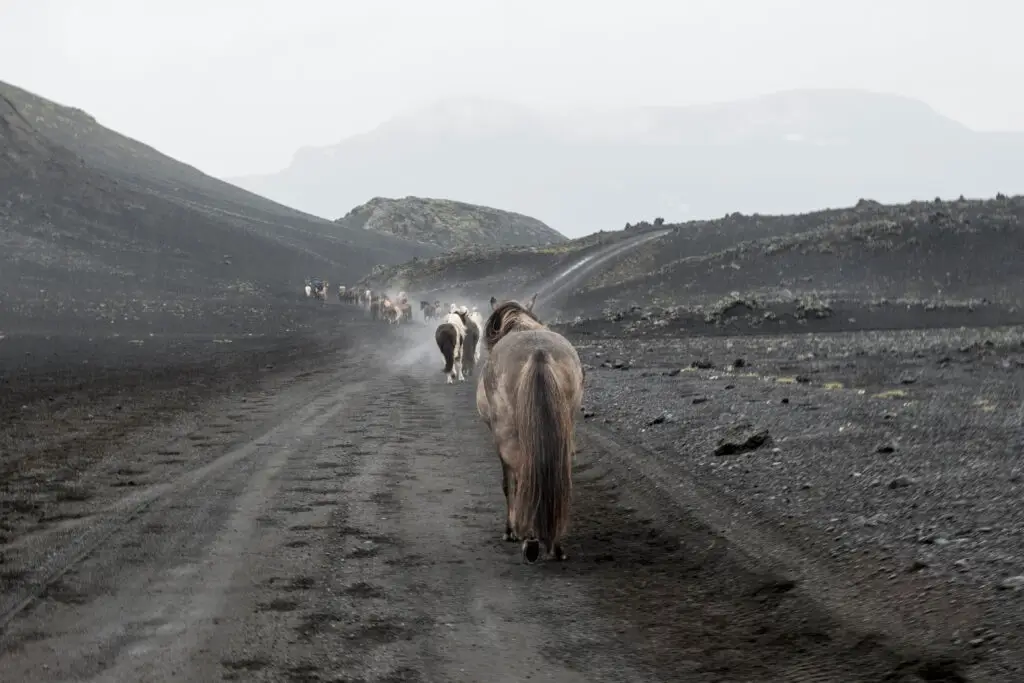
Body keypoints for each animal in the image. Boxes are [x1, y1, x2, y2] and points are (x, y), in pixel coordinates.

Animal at [475, 295, 583, 564]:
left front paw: (510, 531)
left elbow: (507, 483)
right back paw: (556, 545)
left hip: (509, 435)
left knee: (522, 474)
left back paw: (530, 541)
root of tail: (538, 353)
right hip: (564, 429)